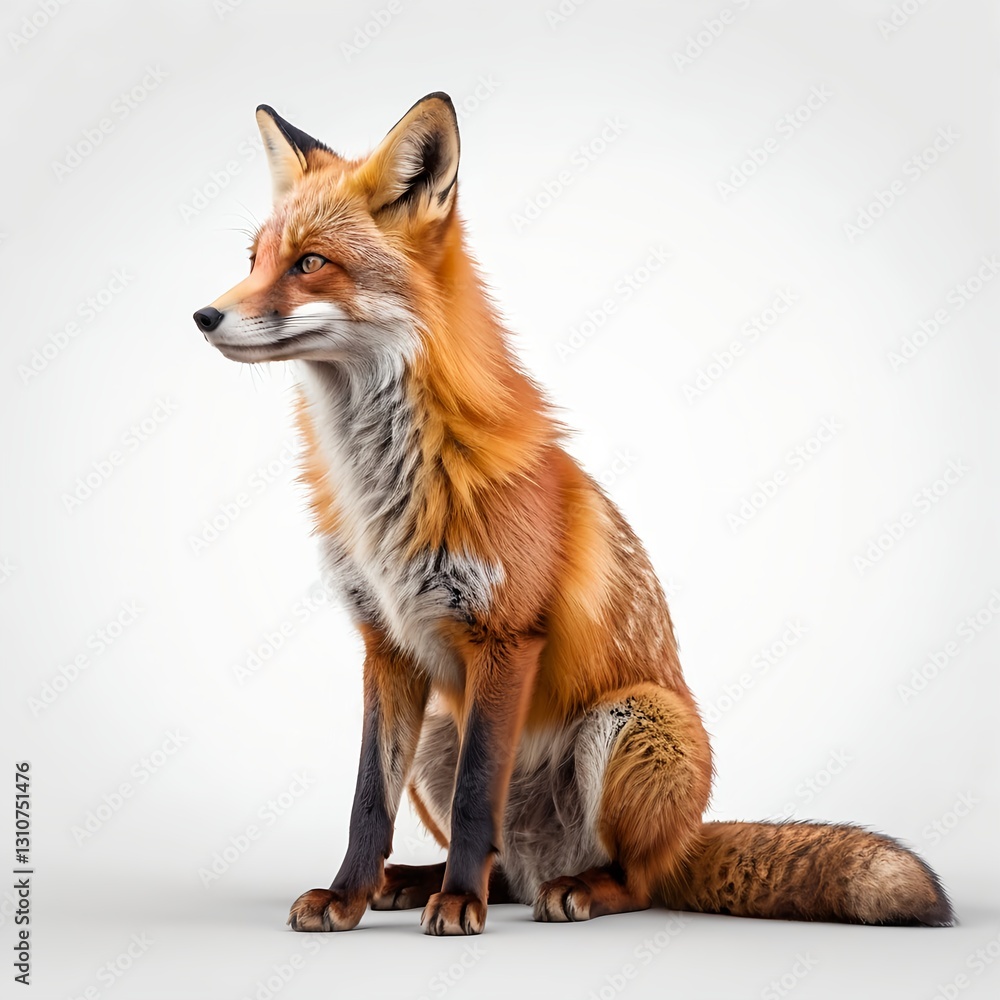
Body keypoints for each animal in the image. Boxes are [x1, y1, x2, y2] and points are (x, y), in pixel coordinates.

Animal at [193, 93, 953, 936]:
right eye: (254, 259)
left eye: (310, 263)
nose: (204, 316)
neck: (386, 488)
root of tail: (685, 838)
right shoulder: (386, 644)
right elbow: (367, 800)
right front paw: (349, 896)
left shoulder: (506, 636)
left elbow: (475, 797)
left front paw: (458, 906)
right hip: (439, 733)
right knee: (506, 861)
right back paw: (422, 881)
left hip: (632, 720)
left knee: (633, 879)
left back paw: (566, 890)